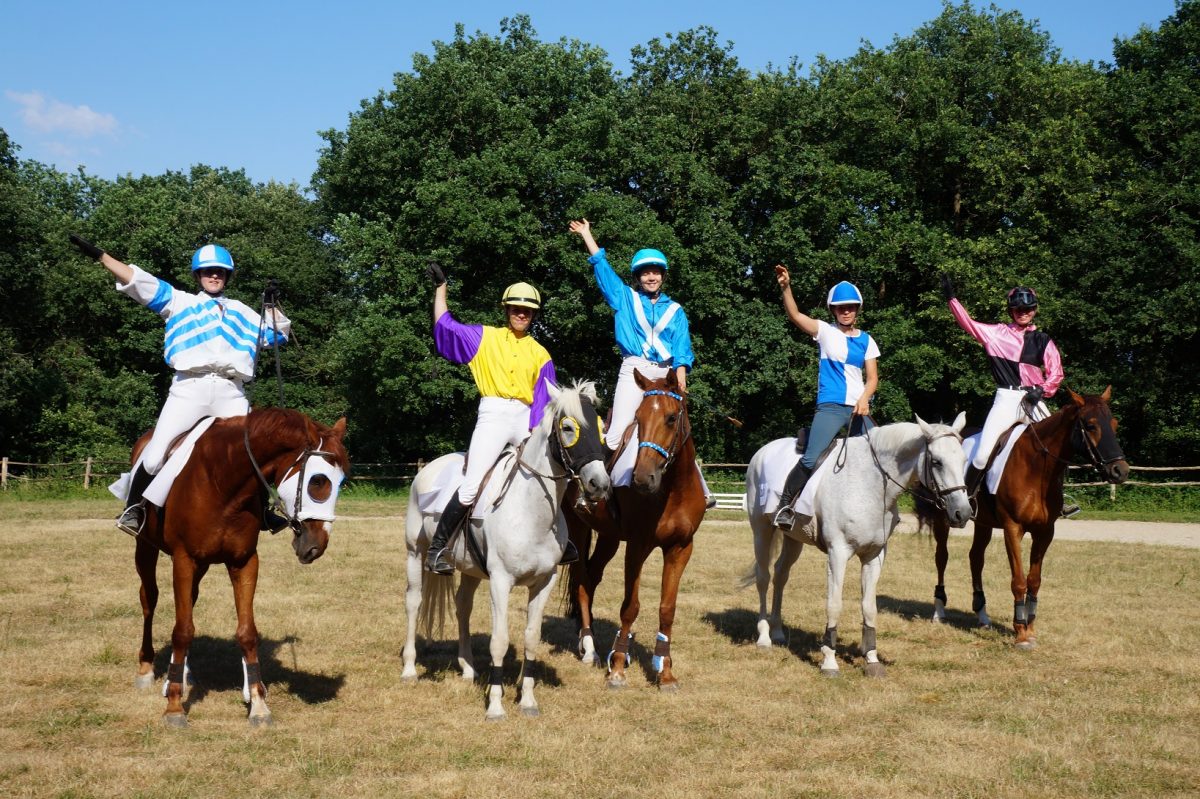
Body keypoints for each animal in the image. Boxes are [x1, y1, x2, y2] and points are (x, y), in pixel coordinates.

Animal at [131, 407, 350, 724]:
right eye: (317, 481)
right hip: (146, 549)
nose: (315, 546)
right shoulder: (184, 559)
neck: (223, 483)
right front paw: (174, 706)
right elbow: (182, 630)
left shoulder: (244, 561)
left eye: (342, 481)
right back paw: (147, 668)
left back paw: (182, 674)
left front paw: (258, 703)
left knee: (188, 603)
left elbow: (246, 632)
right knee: (149, 600)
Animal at [403, 379, 609, 715]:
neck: (529, 510)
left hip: (470, 568)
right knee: (414, 601)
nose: (599, 485)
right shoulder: (500, 582)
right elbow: (499, 640)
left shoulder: (544, 582)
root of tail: (428, 468)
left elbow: (532, 637)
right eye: (568, 427)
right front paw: (496, 706)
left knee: (462, 606)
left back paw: (468, 669)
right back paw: (409, 668)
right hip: (415, 552)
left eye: (602, 429)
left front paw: (527, 700)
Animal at [566, 364, 705, 686]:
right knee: (581, 582)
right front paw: (617, 667)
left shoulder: (681, 548)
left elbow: (667, 609)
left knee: (591, 579)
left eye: (671, 418)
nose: (643, 478)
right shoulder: (638, 546)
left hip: (608, 538)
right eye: (638, 419)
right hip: (577, 530)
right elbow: (630, 606)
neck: (673, 490)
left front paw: (665, 671)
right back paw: (589, 647)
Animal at [744, 412, 969, 676]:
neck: (870, 485)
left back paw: (778, 632)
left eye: (964, 460)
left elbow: (869, 606)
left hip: (793, 539)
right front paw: (829, 661)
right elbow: (834, 604)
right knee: (763, 577)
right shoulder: (837, 553)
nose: (963, 513)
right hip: (761, 530)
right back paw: (764, 637)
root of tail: (762, 451)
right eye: (936, 462)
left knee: (780, 576)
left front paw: (872, 659)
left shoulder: (875, 555)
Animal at [921, 386, 1128, 647]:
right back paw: (939, 610)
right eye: (1090, 425)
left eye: (1114, 423)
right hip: (943, 517)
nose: (1120, 471)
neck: (1036, 468)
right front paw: (1020, 631)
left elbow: (1034, 580)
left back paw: (982, 614)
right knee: (942, 557)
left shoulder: (1045, 532)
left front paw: (1030, 626)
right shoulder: (1013, 528)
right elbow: (1018, 579)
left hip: (983, 522)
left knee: (975, 558)